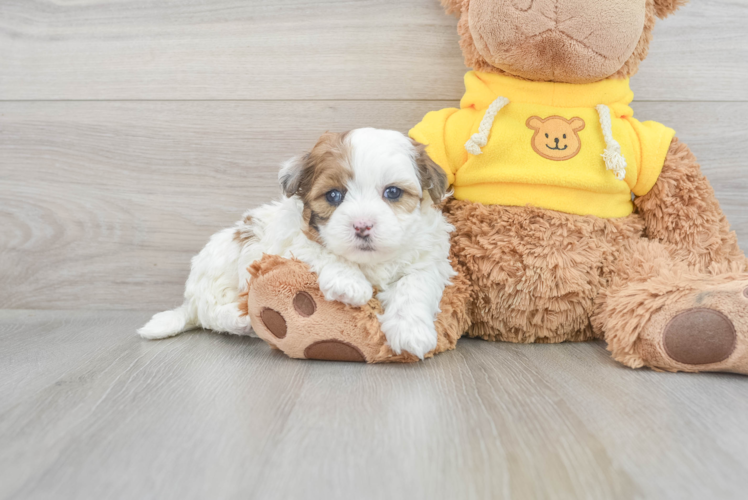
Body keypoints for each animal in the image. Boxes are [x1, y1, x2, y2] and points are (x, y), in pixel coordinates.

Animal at [139, 127, 456, 358]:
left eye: (392, 192)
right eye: (333, 195)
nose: (362, 225)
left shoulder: (428, 259)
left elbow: (415, 286)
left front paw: (411, 332)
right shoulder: (291, 241)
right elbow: (320, 250)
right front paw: (349, 283)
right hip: (221, 264)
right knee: (210, 313)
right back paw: (242, 321)